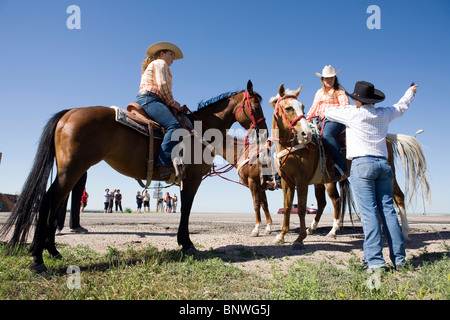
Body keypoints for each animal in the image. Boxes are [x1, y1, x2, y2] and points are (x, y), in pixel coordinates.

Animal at [0, 80, 268, 272]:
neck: (199, 130)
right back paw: (38, 259)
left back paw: (52, 252)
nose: (264, 132)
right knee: (48, 201)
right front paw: (187, 244)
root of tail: (69, 113)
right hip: (72, 170)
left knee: (54, 202)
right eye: (255, 106)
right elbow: (186, 210)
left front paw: (184, 243)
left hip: (69, 170)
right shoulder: (191, 179)